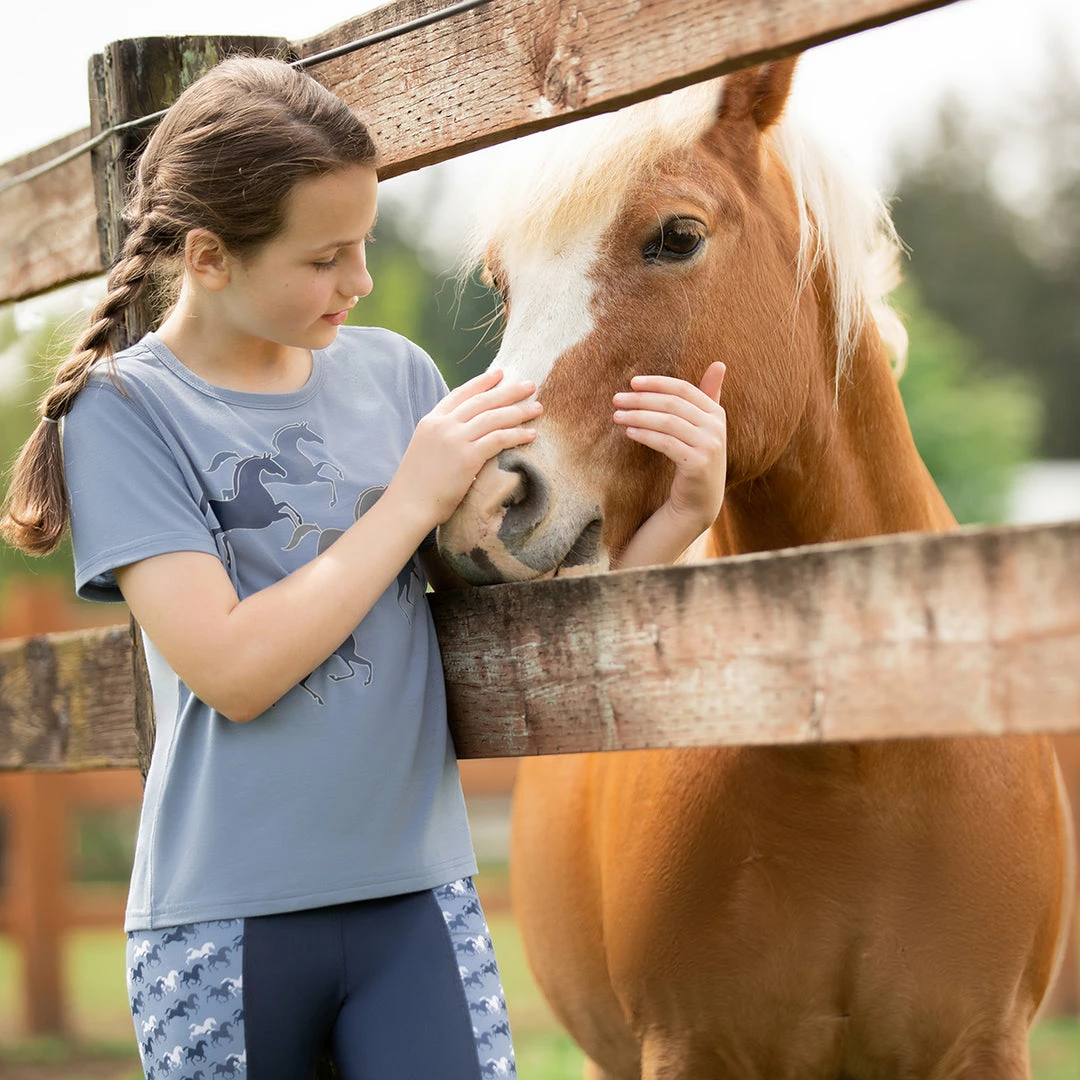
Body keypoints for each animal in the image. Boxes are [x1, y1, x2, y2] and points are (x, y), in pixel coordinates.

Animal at [437, 59, 1074, 1079]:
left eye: (677, 237)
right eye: (503, 281)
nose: (480, 504)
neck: (849, 747)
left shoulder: (982, 1045)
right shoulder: (689, 1047)